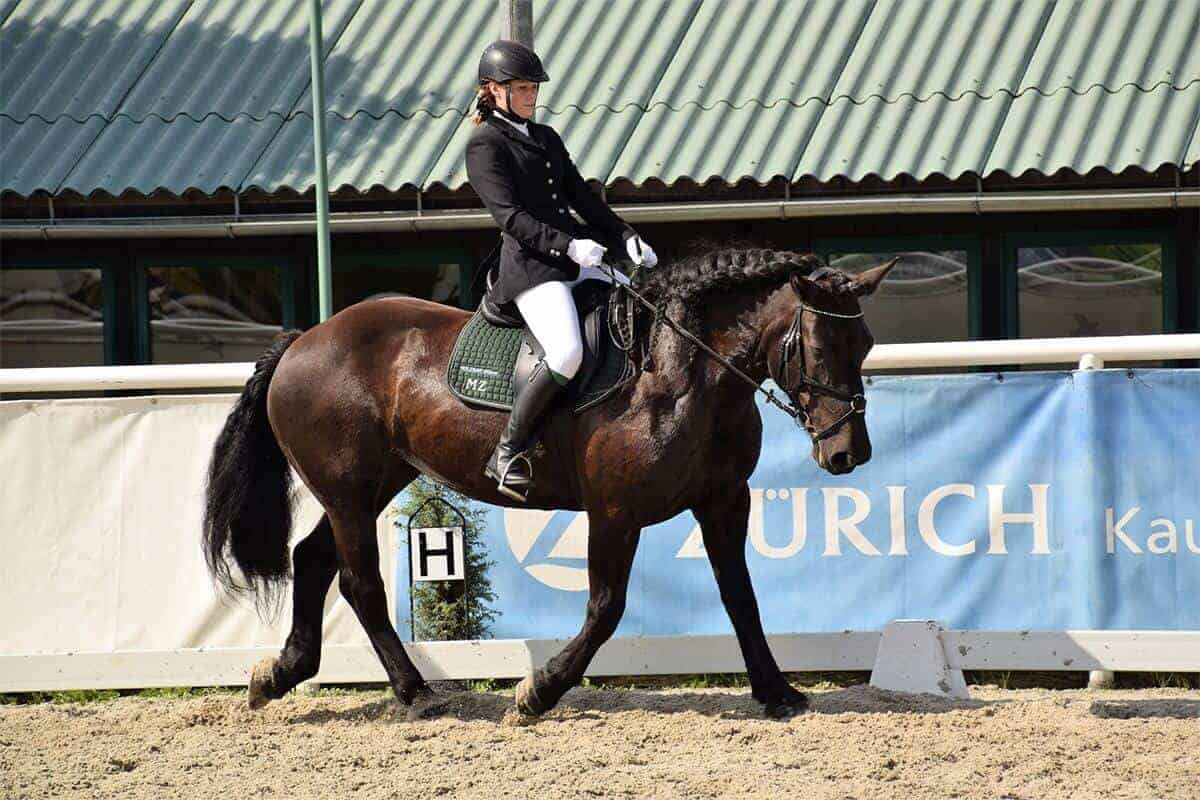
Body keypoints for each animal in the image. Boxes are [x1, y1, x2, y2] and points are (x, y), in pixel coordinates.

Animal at [204, 245, 892, 719]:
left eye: (865, 342)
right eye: (818, 347)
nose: (848, 454)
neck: (681, 372)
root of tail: (305, 340)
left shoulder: (724, 501)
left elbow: (740, 595)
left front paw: (778, 691)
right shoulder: (614, 512)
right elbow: (606, 608)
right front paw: (538, 691)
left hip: (371, 484)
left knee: (313, 560)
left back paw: (280, 675)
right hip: (349, 492)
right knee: (359, 583)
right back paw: (417, 693)